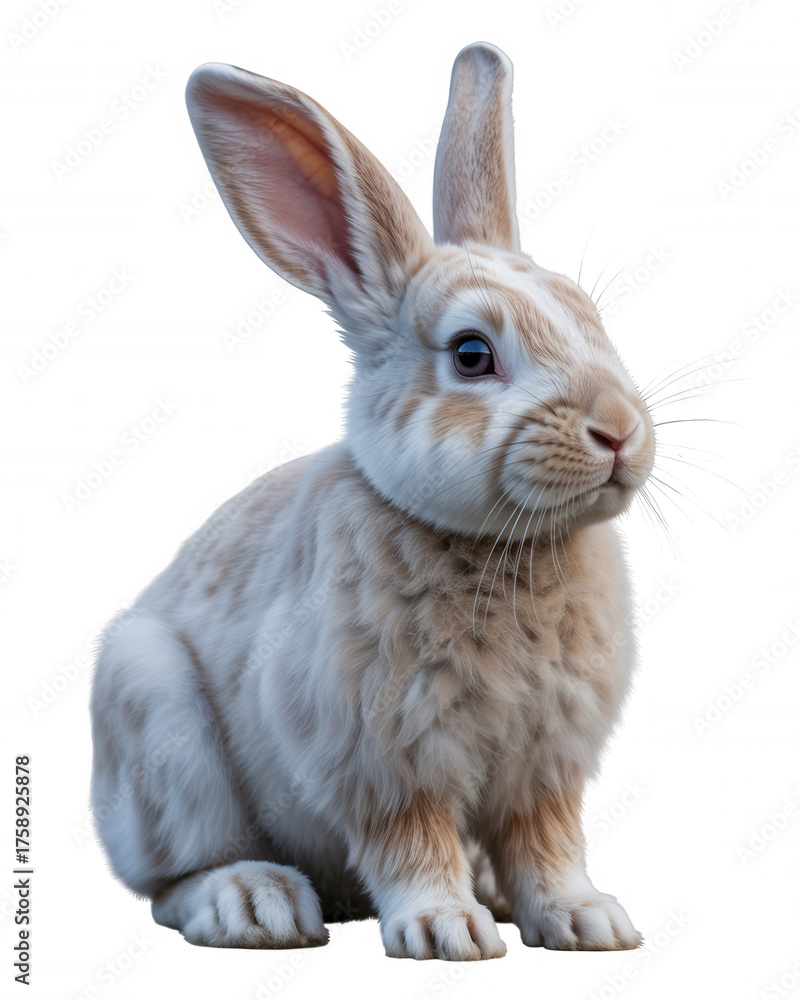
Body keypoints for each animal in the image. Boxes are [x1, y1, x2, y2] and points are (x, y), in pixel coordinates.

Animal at [90, 41, 656, 961]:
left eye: (591, 320)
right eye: (472, 354)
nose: (620, 431)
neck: (499, 548)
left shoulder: (545, 769)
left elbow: (548, 846)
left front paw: (590, 922)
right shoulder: (381, 762)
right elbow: (412, 842)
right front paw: (445, 933)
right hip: (160, 728)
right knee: (173, 880)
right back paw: (255, 904)